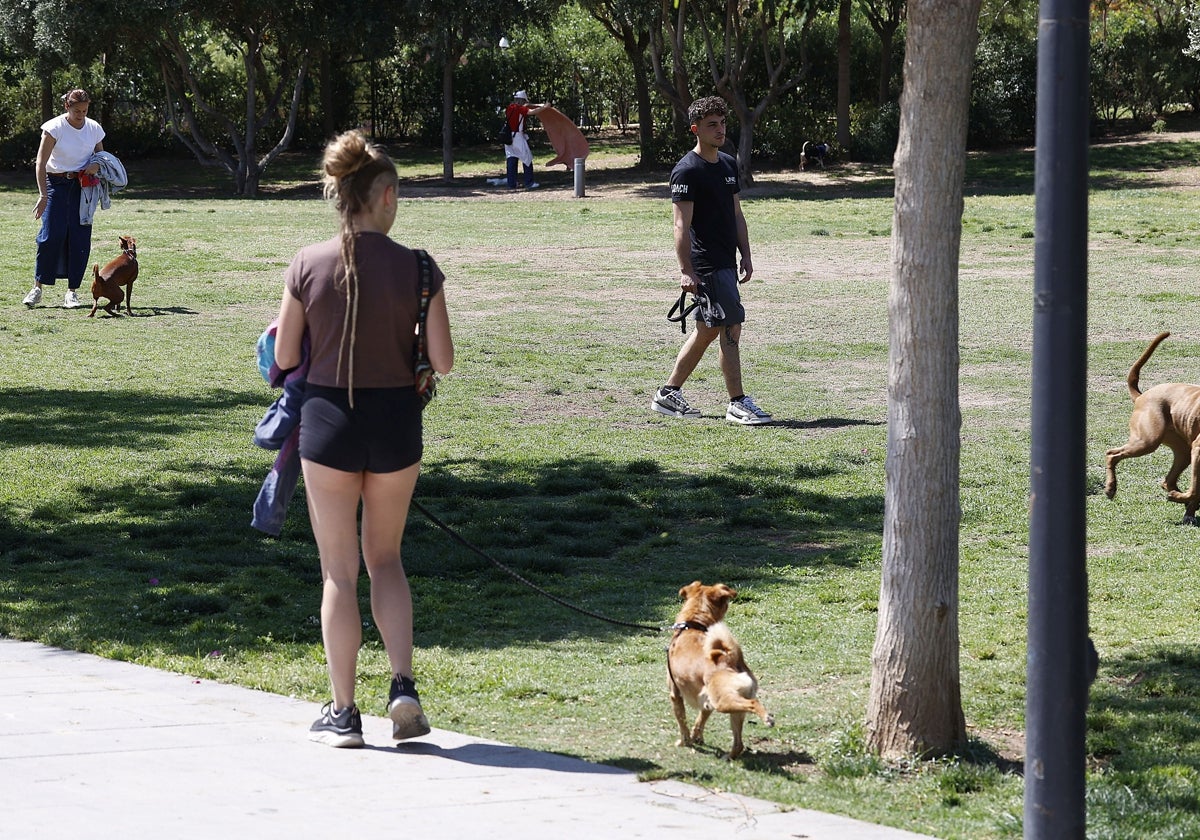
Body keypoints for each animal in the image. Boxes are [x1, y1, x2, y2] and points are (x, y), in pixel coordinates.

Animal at [662, 580, 772, 758]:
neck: (692, 624)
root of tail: (730, 656)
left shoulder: (675, 694)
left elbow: (682, 722)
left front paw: (685, 742)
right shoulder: (706, 701)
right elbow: (700, 720)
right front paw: (696, 738)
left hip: (723, 701)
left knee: (753, 703)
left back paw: (767, 718)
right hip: (732, 706)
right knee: (739, 743)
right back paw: (729, 756)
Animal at [1108, 328, 1200, 520]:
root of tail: (1141, 396)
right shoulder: (1198, 449)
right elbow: (1195, 489)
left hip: (1182, 451)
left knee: (1167, 481)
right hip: (1147, 441)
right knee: (1112, 454)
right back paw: (1111, 488)